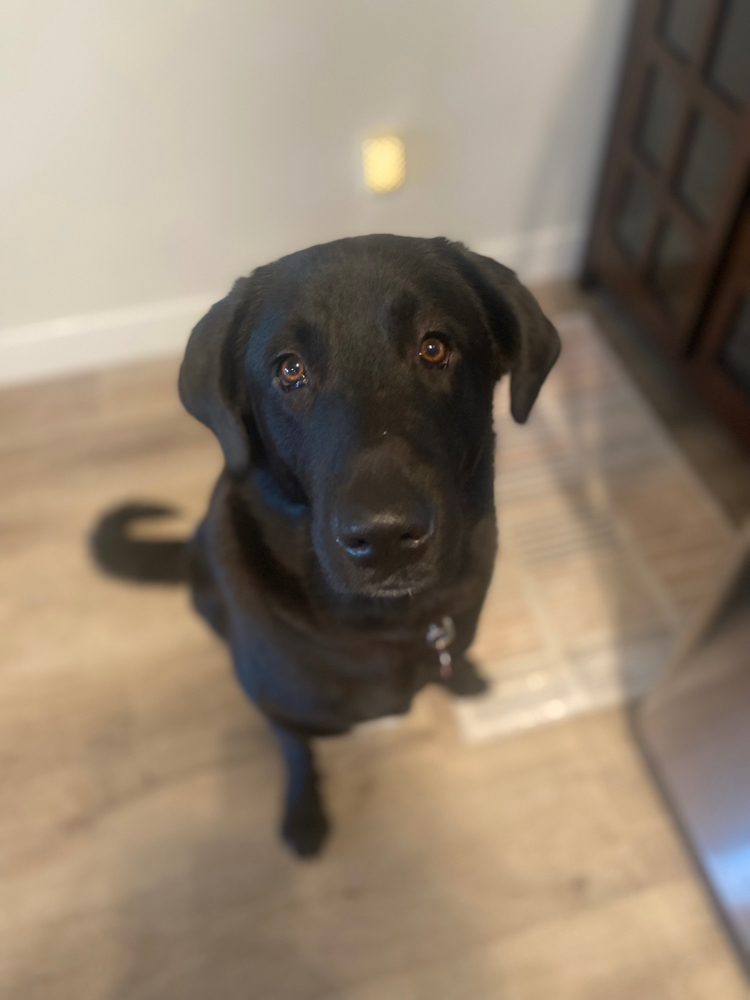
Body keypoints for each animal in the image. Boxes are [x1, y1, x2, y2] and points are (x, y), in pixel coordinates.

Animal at [92, 234, 560, 856]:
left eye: (434, 347)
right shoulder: (281, 712)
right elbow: (298, 755)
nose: (385, 537)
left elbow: (454, 653)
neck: (388, 624)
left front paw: (462, 675)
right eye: (290, 369)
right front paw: (304, 813)